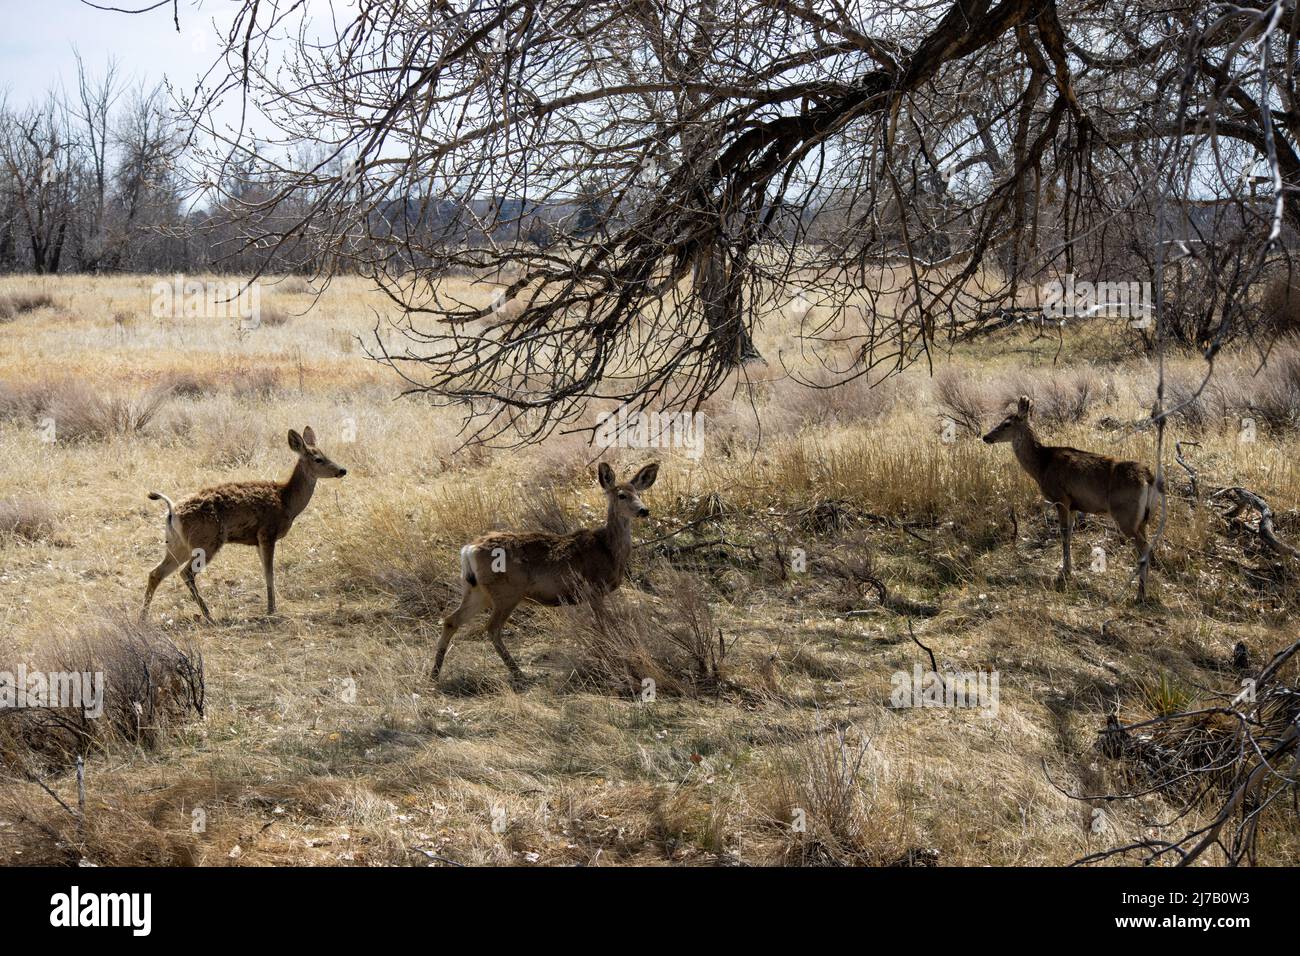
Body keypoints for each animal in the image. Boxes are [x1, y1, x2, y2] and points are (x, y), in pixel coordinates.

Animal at [141, 426, 345, 621]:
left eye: (326, 454)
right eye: (318, 459)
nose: (342, 470)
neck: (286, 501)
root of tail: (173, 511)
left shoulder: (257, 541)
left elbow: (265, 572)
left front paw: (272, 607)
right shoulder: (266, 533)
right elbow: (269, 573)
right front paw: (271, 610)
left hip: (178, 544)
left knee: (156, 573)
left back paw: (143, 617)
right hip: (206, 541)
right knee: (186, 573)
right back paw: (208, 614)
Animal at [434, 460, 660, 686]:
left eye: (639, 493)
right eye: (621, 495)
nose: (644, 510)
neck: (608, 549)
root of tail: (469, 549)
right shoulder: (593, 589)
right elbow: (604, 625)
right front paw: (609, 655)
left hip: (477, 591)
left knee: (451, 620)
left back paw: (434, 674)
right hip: (506, 592)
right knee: (492, 628)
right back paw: (518, 673)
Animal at [977, 395, 1164, 598]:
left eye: (1006, 424)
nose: (986, 437)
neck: (1041, 465)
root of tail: (1148, 478)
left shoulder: (1061, 498)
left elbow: (1064, 534)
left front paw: (1065, 572)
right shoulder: (1075, 505)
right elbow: (1070, 534)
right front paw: (1067, 568)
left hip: (1125, 515)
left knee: (1144, 548)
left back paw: (1140, 594)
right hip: (1143, 519)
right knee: (1147, 544)